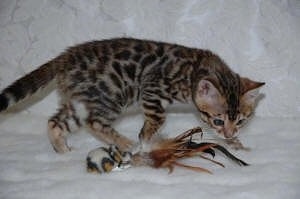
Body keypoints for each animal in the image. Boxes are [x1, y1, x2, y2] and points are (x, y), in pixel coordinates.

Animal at [0, 37, 264, 152]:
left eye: (241, 121)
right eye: (218, 120)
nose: (230, 132)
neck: (196, 69)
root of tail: (66, 56)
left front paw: (235, 142)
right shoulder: (151, 88)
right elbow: (157, 119)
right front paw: (146, 139)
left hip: (80, 100)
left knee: (55, 122)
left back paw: (62, 149)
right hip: (112, 94)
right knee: (94, 122)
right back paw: (124, 143)